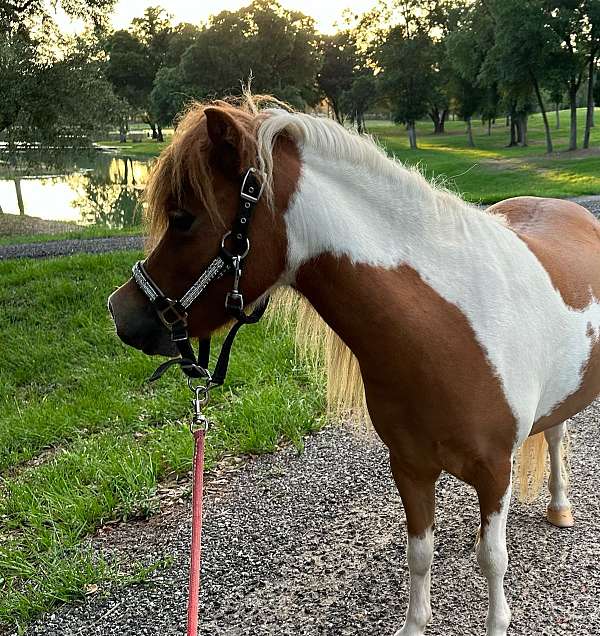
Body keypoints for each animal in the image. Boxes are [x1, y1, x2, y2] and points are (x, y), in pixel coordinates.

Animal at [108, 95, 600, 636]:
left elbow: (492, 561)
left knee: (556, 438)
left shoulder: (494, 473)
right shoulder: (409, 466)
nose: (121, 313)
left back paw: (560, 507)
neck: (448, 328)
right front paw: (414, 625)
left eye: (183, 218)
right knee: (553, 430)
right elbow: (420, 554)